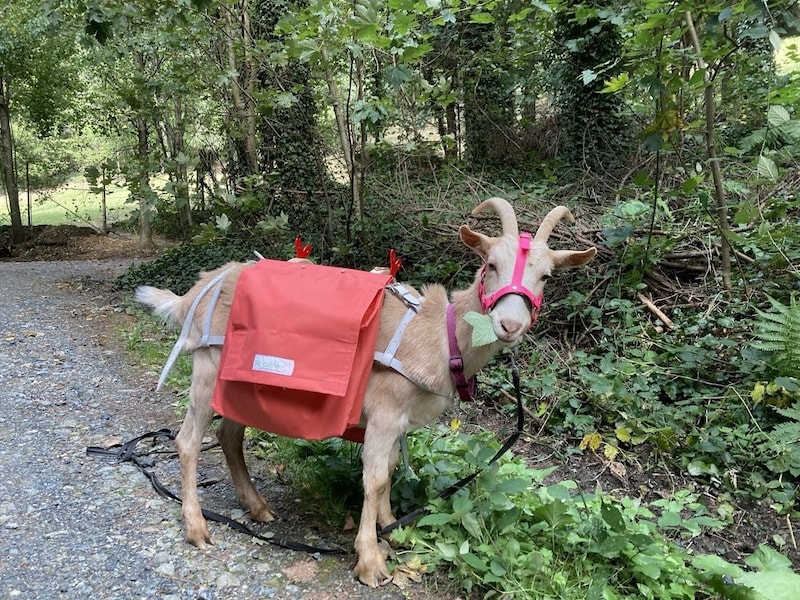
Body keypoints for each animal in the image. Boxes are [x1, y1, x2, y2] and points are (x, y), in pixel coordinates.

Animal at [133, 197, 592, 584]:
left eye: (546, 276)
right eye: (491, 264)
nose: (509, 325)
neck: (438, 337)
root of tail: (202, 285)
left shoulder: (397, 420)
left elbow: (387, 471)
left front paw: (392, 532)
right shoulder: (386, 410)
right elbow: (373, 478)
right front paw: (369, 559)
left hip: (238, 382)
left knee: (229, 434)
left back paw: (258, 507)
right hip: (208, 367)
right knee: (188, 440)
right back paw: (197, 527)